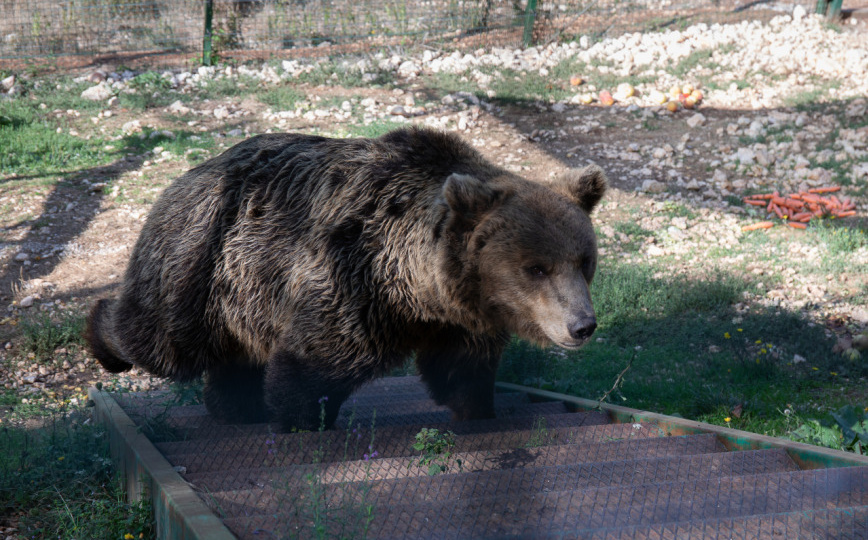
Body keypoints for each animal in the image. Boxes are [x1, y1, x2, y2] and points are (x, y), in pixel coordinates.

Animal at [85, 126, 606, 432]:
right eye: (536, 267)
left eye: (583, 260)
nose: (582, 325)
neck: (419, 288)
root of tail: (186, 175)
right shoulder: (353, 280)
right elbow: (317, 359)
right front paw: (301, 417)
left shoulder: (461, 318)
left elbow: (461, 371)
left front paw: (478, 409)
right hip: (200, 263)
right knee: (161, 339)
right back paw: (103, 337)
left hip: (242, 292)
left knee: (234, 354)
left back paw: (237, 406)